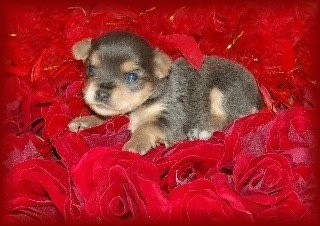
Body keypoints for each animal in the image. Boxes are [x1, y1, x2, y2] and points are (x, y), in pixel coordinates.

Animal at [69, 31, 264, 155]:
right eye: (90, 69)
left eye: (132, 77)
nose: (101, 93)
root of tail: (259, 96)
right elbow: (103, 116)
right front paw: (84, 121)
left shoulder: (172, 117)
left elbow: (147, 125)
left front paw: (135, 143)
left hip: (224, 90)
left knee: (227, 118)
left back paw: (202, 128)